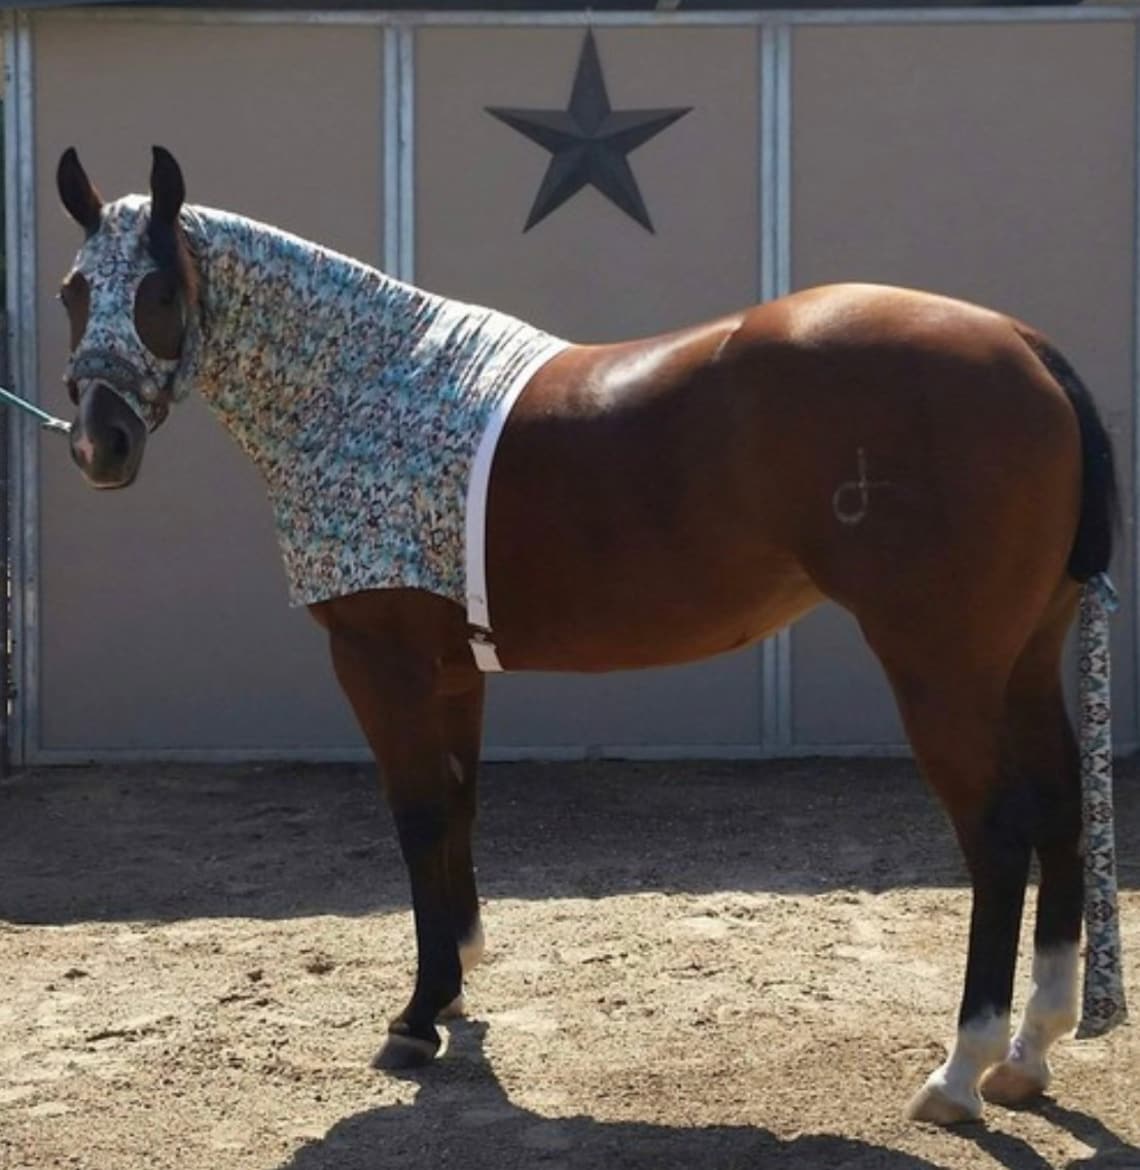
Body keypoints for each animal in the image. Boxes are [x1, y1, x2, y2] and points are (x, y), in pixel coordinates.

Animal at [53, 145, 1126, 1126]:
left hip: (941, 666)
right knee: (1061, 809)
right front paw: (459, 982)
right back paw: (1030, 1053)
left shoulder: (379, 663)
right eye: (74, 289)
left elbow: (417, 815)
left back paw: (960, 1071)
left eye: (157, 289)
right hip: (1026, 657)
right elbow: (460, 804)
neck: (373, 390)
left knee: (998, 834)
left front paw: (416, 1018)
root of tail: (1024, 344)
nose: (100, 447)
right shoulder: (454, 670)